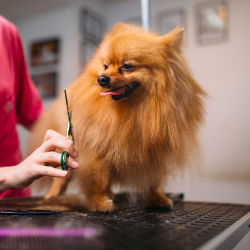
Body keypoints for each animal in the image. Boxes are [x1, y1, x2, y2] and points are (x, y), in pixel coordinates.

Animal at [27, 23, 207, 212]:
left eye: (127, 66)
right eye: (106, 66)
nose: (101, 79)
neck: (135, 109)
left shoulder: (154, 153)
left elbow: (153, 180)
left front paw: (156, 198)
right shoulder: (96, 150)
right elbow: (99, 179)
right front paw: (100, 202)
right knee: (62, 177)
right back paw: (52, 195)